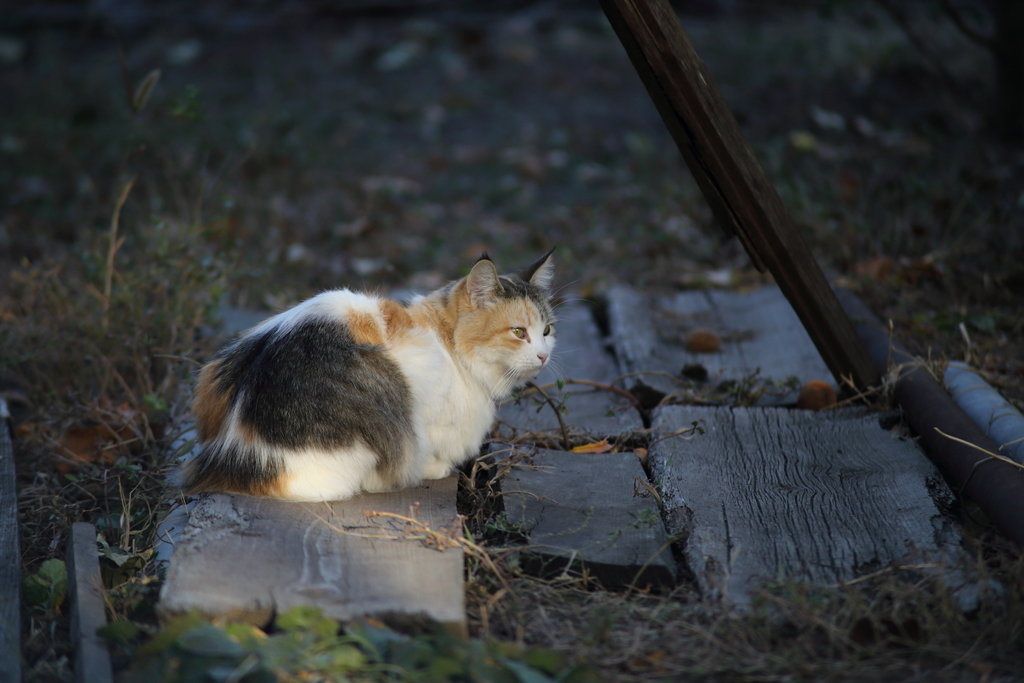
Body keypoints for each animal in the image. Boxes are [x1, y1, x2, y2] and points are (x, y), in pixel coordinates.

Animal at [180, 250, 557, 501]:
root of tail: (232, 450)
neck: (446, 342)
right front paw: (436, 466)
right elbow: (428, 446)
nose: (544, 355)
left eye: (547, 330)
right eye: (519, 332)